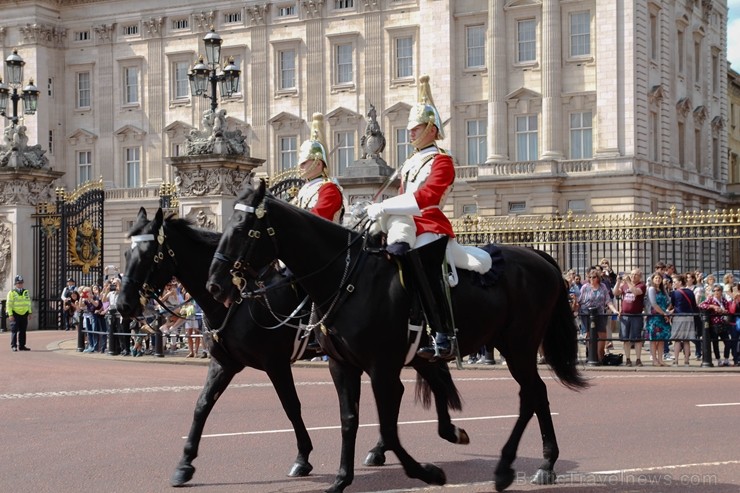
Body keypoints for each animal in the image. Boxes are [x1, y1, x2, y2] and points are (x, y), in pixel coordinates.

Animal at [118, 206, 466, 486]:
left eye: (147, 256)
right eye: (125, 254)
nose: (123, 305)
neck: (238, 298)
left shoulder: (275, 361)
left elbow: (291, 406)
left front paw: (303, 458)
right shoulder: (225, 363)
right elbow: (202, 405)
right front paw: (184, 464)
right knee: (426, 378)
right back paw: (404, 442)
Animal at [205, 181, 588, 492]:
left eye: (243, 229)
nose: (215, 286)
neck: (346, 278)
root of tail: (537, 254)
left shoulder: (381, 366)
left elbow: (388, 427)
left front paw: (428, 473)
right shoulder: (342, 366)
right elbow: (349, 420)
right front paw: (341, 479)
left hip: (518, 345)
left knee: (532, 394)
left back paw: (522, 466)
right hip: (507, 345)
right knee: (533, 395)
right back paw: (534, 463)